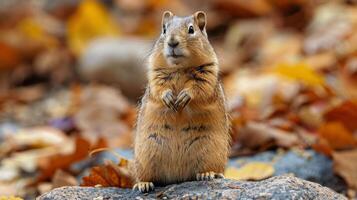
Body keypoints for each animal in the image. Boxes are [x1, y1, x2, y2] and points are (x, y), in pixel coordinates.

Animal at [132, 10, 229, 192]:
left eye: (191, 29)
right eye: (164, 29)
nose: (172, 42)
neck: (179, 68)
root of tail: (177, 177)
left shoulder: (208, 75)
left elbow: (199, 89)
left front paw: (185, 96)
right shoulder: (156, 75)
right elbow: (159, 88)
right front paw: (168, 97)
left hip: (211, 152)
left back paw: (208, 174)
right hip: (145, 155)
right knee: (147, 176)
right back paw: (144, 184)